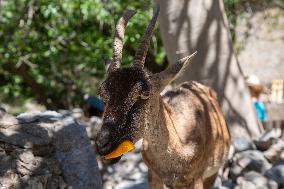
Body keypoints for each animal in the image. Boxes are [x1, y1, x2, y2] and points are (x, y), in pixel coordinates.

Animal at [95, 5, 231, 188]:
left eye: (145, 93)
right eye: (102, 94)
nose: (103, 144)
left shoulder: (197, 178)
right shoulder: (153, 175)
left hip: (213, 172)